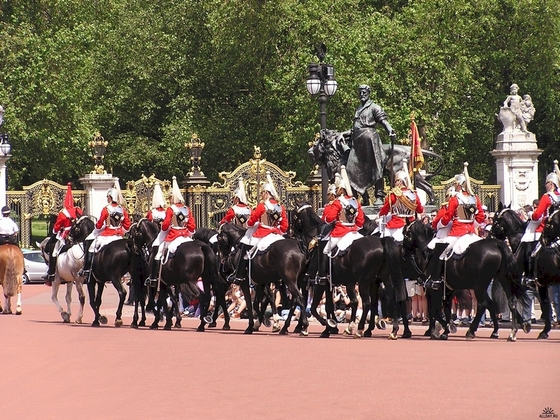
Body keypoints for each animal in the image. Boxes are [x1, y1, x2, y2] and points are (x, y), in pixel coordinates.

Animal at [288, 203, 406, 338]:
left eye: (294, 216)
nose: (291, 234)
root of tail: (381, 242)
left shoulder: (319, 282)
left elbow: (315, 307)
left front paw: (328, 325)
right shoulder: (333, 283)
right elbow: (330, 305)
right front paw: (330, 327)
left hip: (364, 282)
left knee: (366, 303)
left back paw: (360, 330)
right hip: (384, 278)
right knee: (391, 299)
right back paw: (393, 330)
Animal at [494, 203, 560, 338]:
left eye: (494, 220)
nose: (490, 234)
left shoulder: (522, 282)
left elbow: (516, 302)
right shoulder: (540, 284)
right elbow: (544, 305)